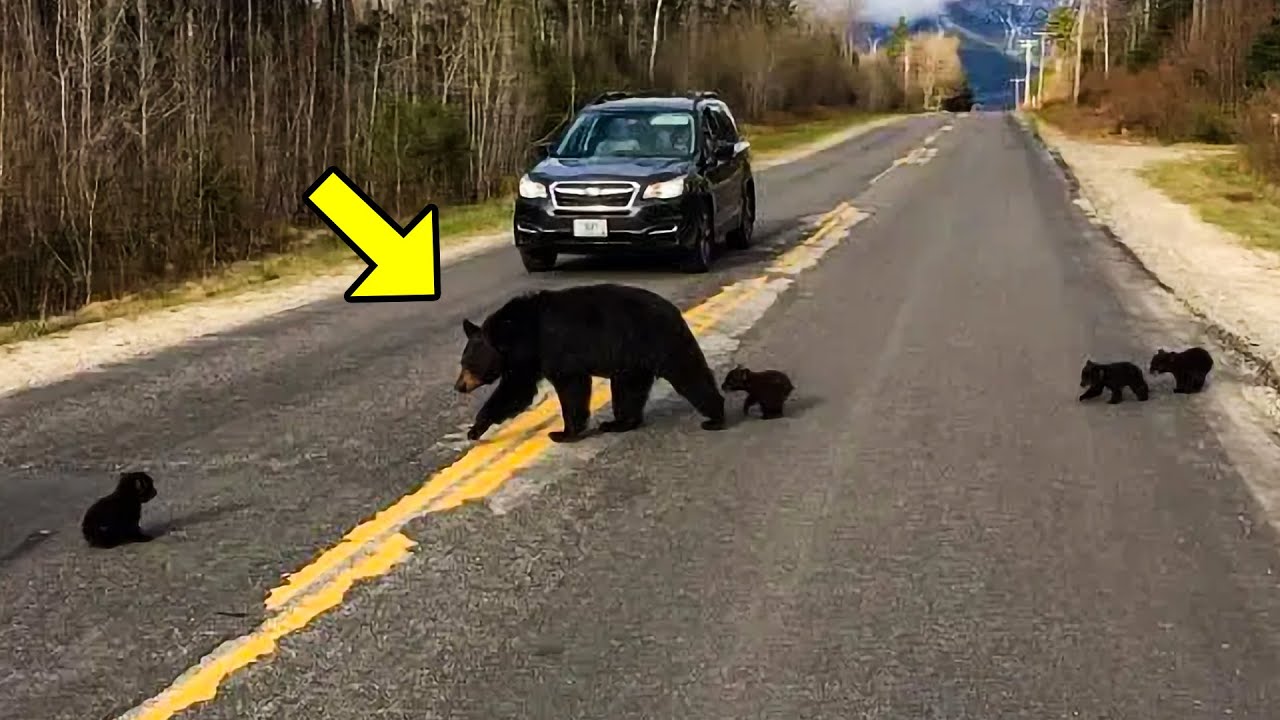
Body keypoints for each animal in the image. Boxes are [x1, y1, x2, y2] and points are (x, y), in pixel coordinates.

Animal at [455, 281, 727, 440]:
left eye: (467, 363)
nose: (459, 386)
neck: (518, 332)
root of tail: (674, 311)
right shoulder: (530, 360)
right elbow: (518, 391)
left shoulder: (552, 349)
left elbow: (564, 388)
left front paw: (563, 433)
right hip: (632, 361)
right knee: (629, 391)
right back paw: (618, 423)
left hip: (660, 343)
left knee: (689, 374)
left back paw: (715, 417)